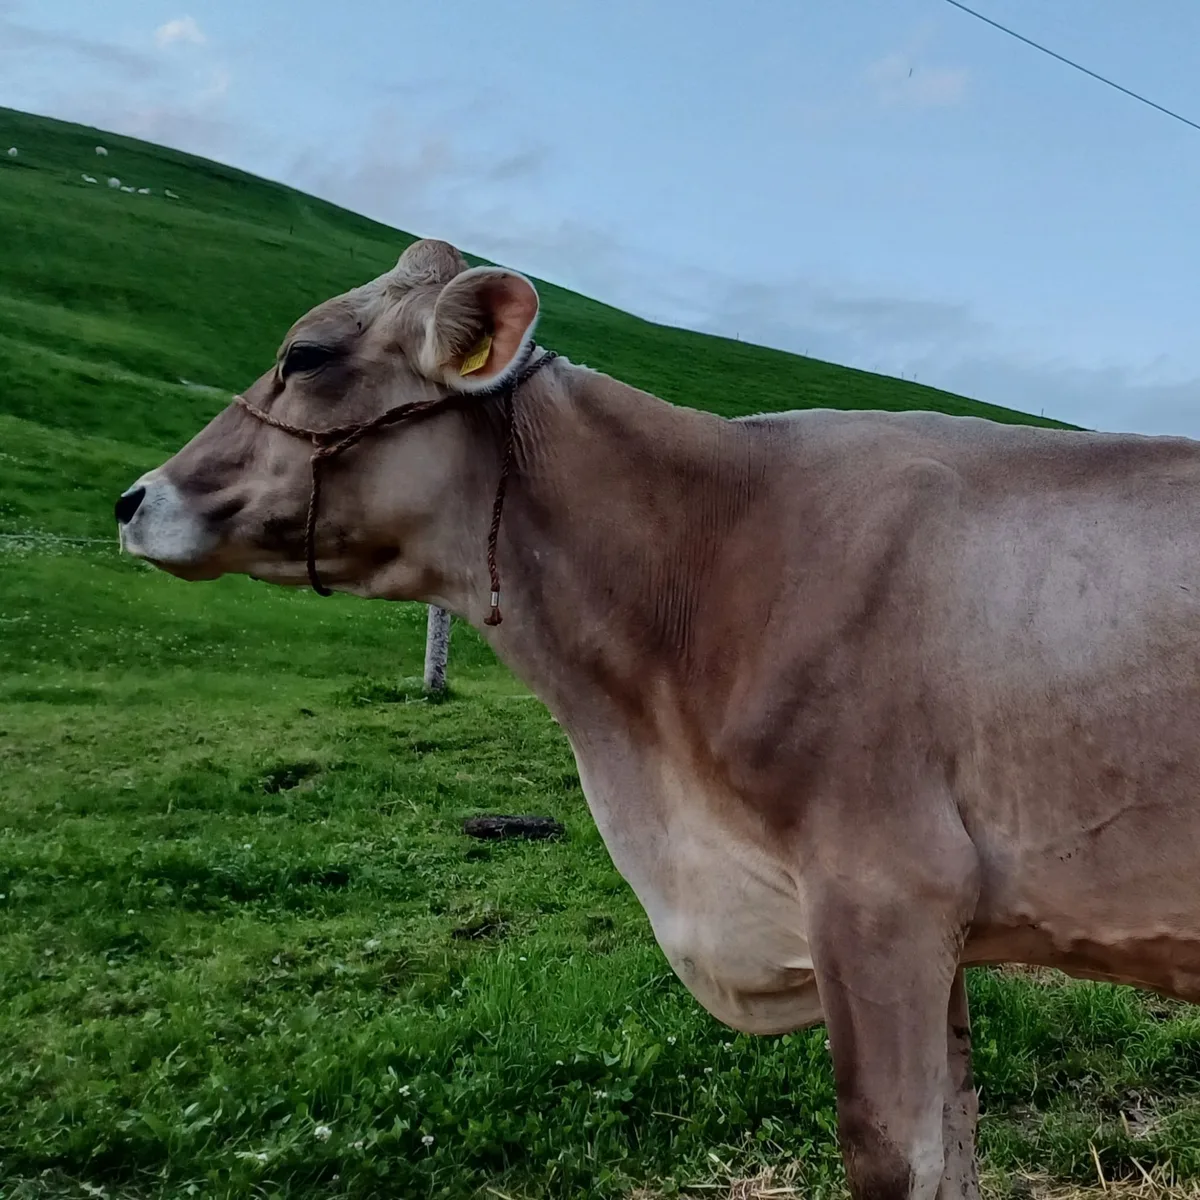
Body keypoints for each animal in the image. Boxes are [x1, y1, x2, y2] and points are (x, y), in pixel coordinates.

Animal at [115, 238, 1200, 1200]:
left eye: (306, 355)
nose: (133, 498)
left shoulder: (886, 888)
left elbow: (894, 1159)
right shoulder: (941, 927)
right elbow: (960, 1138)